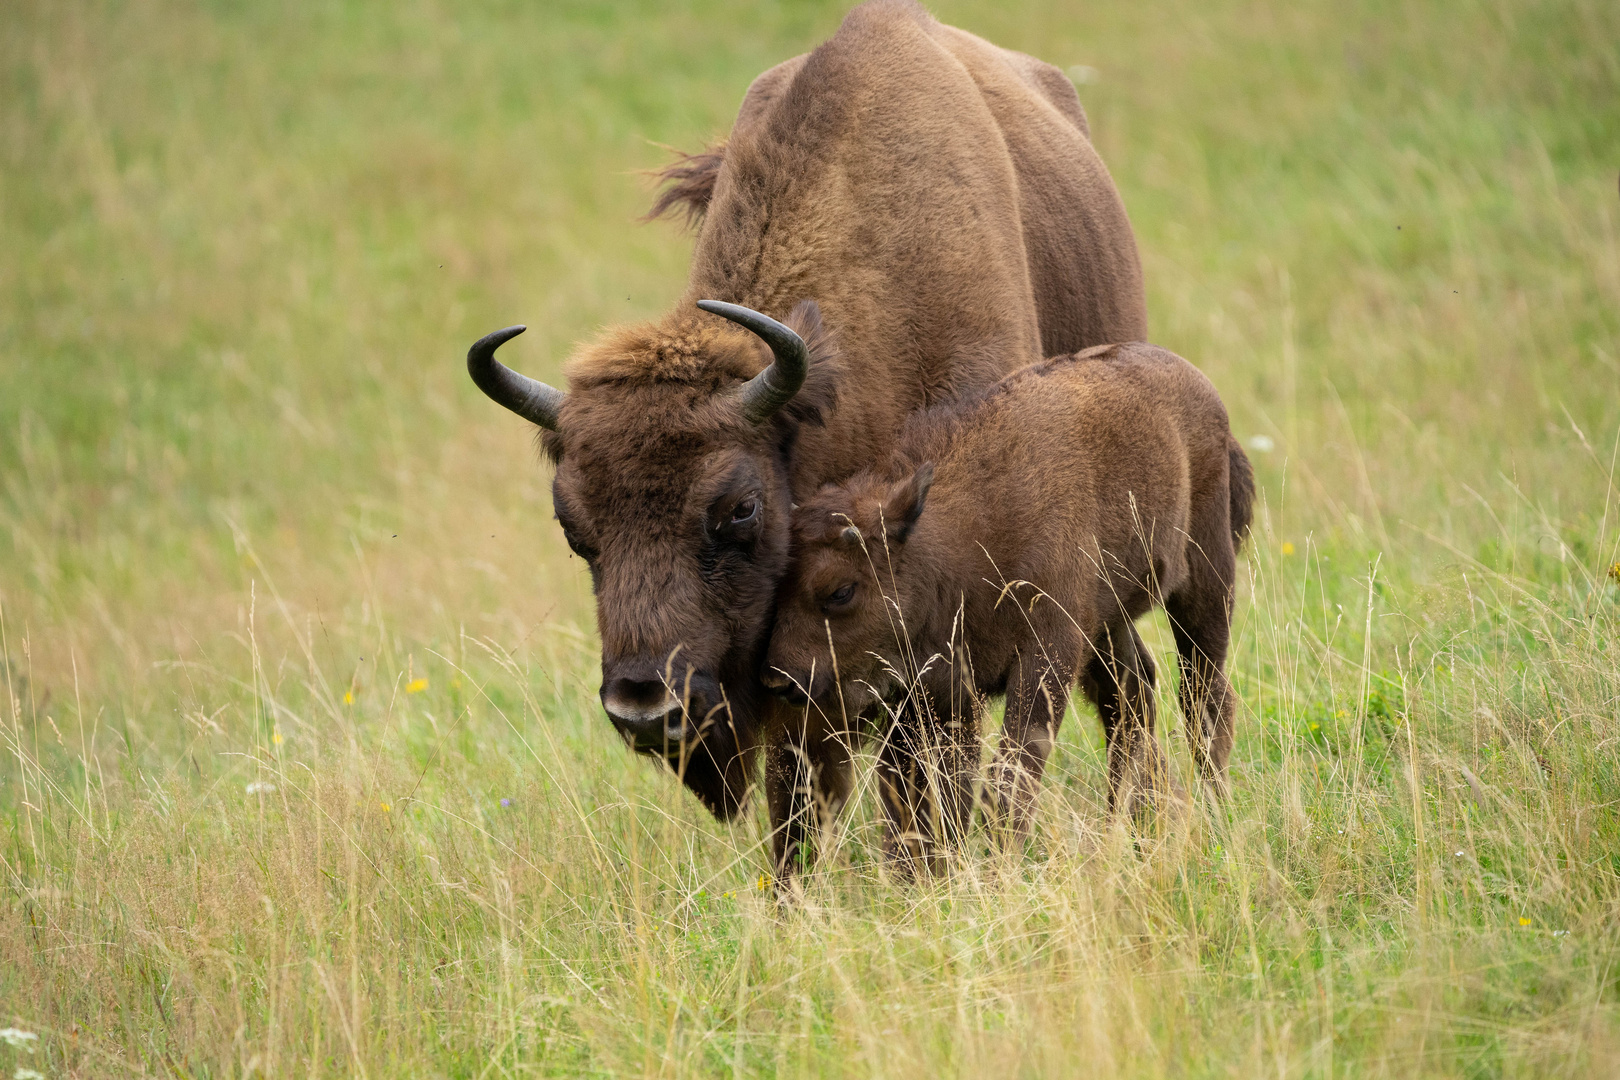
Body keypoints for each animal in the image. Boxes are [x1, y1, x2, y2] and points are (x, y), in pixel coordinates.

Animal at [469, 0, 1146, 874]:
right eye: (573, 526)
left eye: (739, 510)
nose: (645, 708)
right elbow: (798, 799)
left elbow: (923, 775)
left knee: (1127, 684)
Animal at [761, 340, 1250, 861]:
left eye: (840, 590)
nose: (779, 680)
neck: (956, 531)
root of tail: (1196, 383)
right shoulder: (940, 692)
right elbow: (934, 798)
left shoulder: (1045, 656)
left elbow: (1005, 782)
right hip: (1111, 619)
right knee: (1134, 694)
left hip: (1206, 583)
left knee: (1205, 698)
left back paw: (1215, 814)